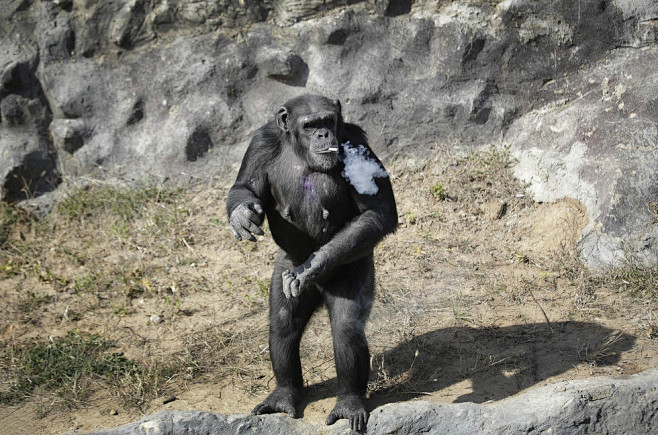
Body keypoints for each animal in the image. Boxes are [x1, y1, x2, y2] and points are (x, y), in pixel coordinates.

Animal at [226, 93, 394, 430]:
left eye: (328, 121)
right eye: (309, 125)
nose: (323, 135)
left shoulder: (356, 142)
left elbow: (378, 211)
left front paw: (314, 265)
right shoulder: (260, 143)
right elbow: (245, 186)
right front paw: (242, 215)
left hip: (355, 268)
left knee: (346, 329)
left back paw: (349, 403)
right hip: (284, 267)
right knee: (282, 325)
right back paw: (283, 395)